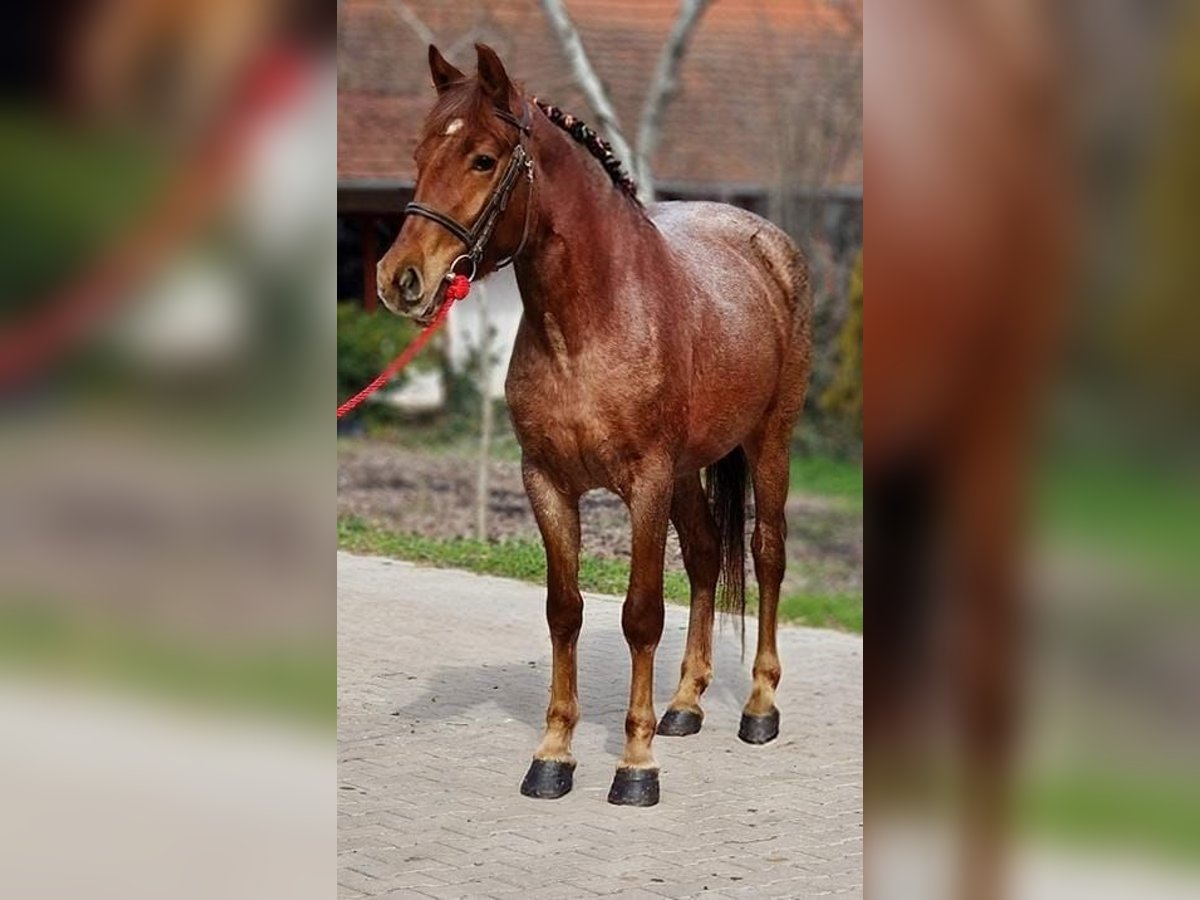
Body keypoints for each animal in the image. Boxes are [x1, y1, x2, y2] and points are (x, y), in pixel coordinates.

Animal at [381, 44, 816, 811]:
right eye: (420, 150)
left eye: (483, 159)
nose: (399, 278)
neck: (590, 325)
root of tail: (768, 244)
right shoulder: (548, 483)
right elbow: (565, 610)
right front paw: (553, 757)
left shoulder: (643, 485)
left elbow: (640, 614)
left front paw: (635, 767)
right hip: (688, 473)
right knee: (706, 557)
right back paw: (685, 705)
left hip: (770, 441)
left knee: (766, 556)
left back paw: (758, 708)